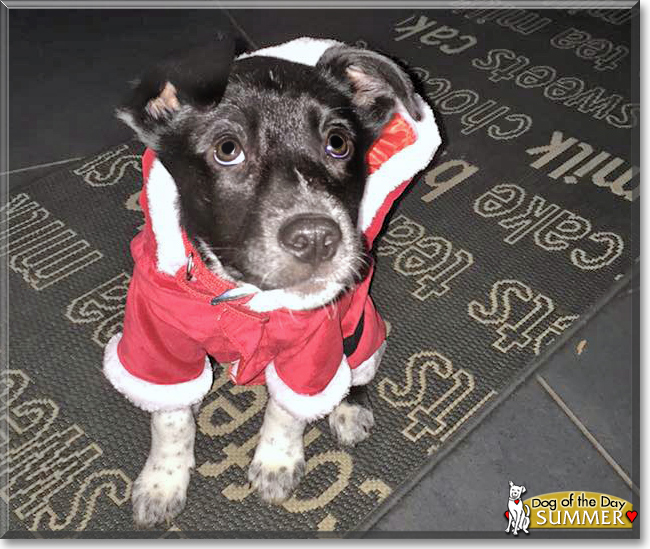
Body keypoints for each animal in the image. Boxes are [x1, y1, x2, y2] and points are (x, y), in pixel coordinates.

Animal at [104, 35, 440, 528]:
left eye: (338, 142)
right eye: (227, 149)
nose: (317, 238)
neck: (240, 294)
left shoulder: (315, 346)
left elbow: (288, 408)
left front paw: (276, 463)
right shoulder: (157, 341)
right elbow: (171, 419)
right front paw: (162, 483)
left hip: (361, 330)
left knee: (357, 372)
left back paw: (349, 411)